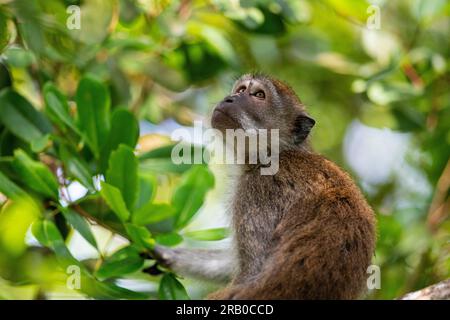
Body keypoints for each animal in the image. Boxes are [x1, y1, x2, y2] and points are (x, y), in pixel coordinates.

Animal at [151, 74, 376, 298]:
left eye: (259, 95)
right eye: (241, 90)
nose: (229, 98)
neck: (273, 154)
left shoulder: (257, 190)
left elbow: (252, 270)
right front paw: (166, 255)